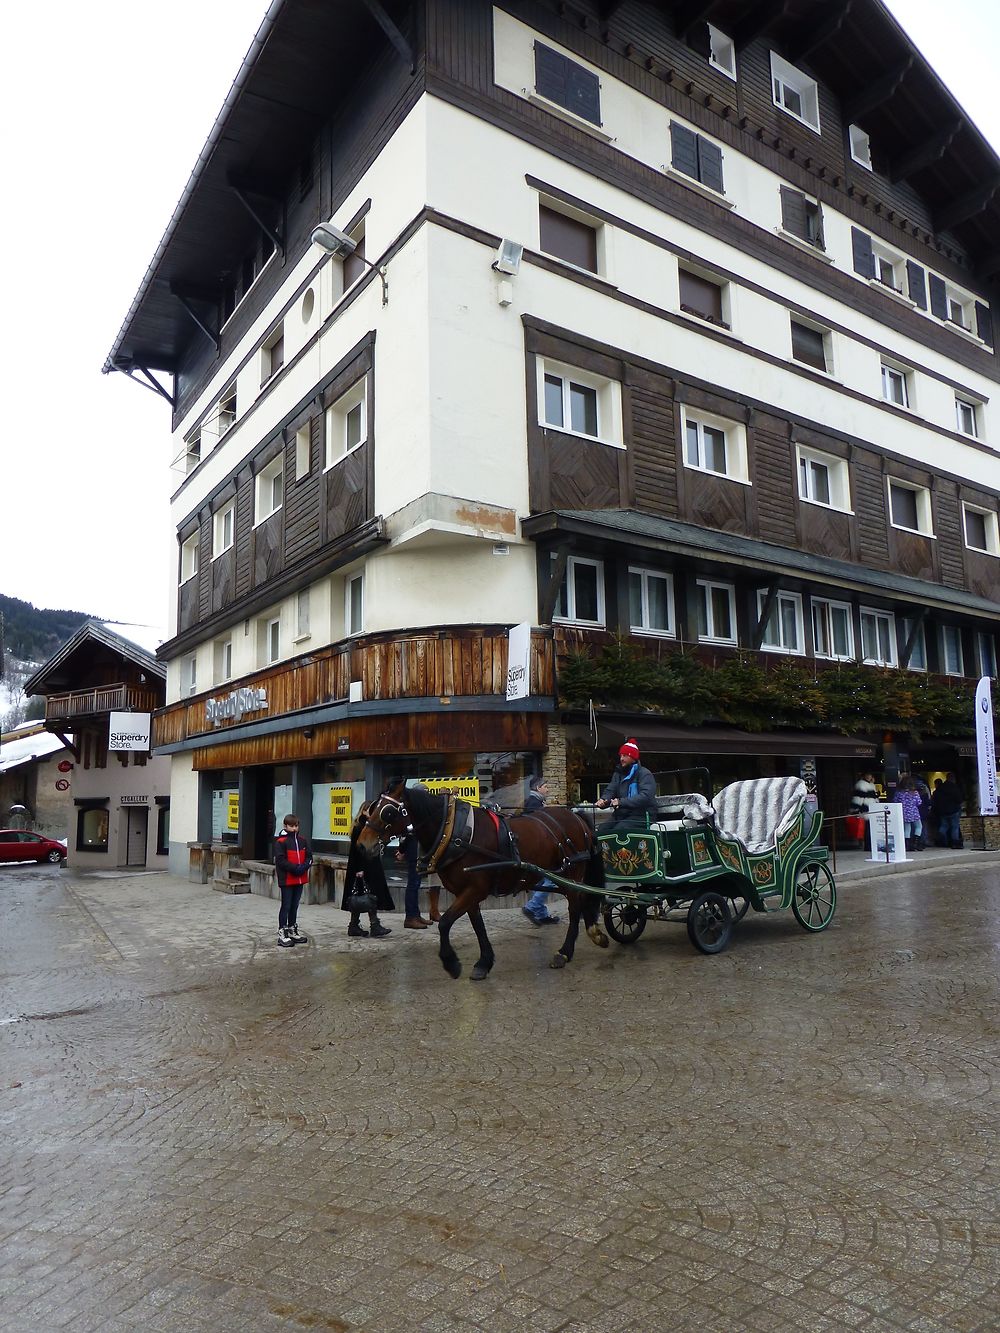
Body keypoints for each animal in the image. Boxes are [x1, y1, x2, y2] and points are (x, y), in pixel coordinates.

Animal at [360, 778, 610, 981]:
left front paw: (451, 963)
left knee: (575, 906)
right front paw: (484, 962)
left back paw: (566, 951)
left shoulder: (475, 889)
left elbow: (445, 922)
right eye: (373, 808)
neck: (456, 833)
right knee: (581, 900)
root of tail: (576, 816)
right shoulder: (467, 891)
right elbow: (478, 926)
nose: (363, 845)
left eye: (388, 812)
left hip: (572, 872)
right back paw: (593, 934)